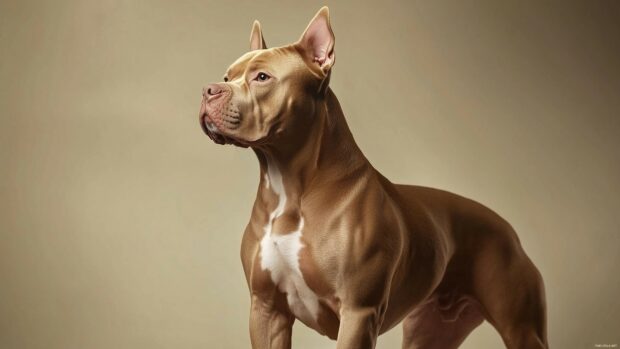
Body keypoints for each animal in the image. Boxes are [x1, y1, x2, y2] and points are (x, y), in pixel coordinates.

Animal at [199, 6, 548, 348]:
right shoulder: (267, 309)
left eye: (262, 77)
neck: (290, 185)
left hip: (522, 329)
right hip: (431, 330)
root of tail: (508, 229)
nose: (208, 90)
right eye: (227, 77)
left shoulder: (358, 313)